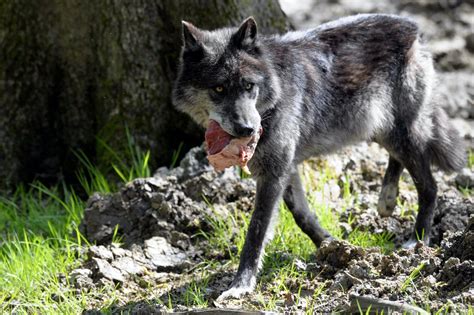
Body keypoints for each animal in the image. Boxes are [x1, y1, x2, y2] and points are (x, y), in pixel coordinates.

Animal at [171, 14, 466, 300]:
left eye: (248, 86)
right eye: (219, 89)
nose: (248, 129)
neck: (274, 94)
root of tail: (412, 26)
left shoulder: (274, 172)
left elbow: (256, 232)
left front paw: (240, 285)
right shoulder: (285, 168)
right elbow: (301, 215)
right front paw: (329, 244)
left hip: (397, 130)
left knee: (429, 185)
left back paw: (417, 240)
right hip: (380, 129)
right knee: (402, 161)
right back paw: (387, 200)